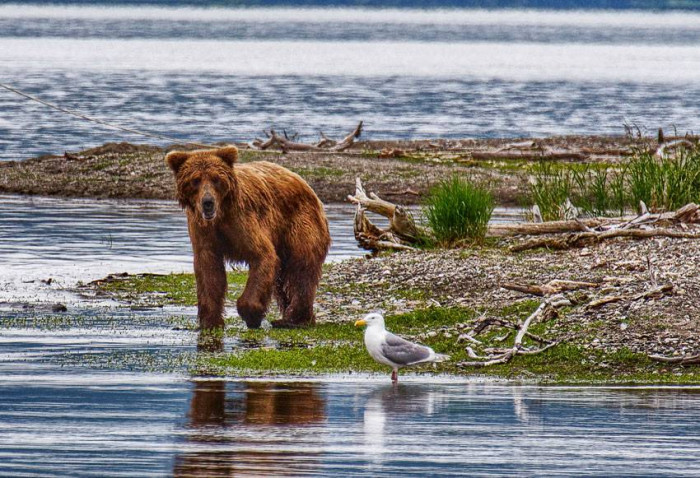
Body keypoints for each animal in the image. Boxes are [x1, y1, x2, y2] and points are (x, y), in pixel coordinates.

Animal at [165, 147, 330, 328]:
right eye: (195, 180)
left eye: (216, 179)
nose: (208, 202)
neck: (220, 216)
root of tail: (306, 184)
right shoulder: (204, 231)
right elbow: (209, 271)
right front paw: (211, 321)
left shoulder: (242, 220)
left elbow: (262, 255)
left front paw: (252, 314)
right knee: (283, 281)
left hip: (299, 224)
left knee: (300, 269)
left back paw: (293, 319)